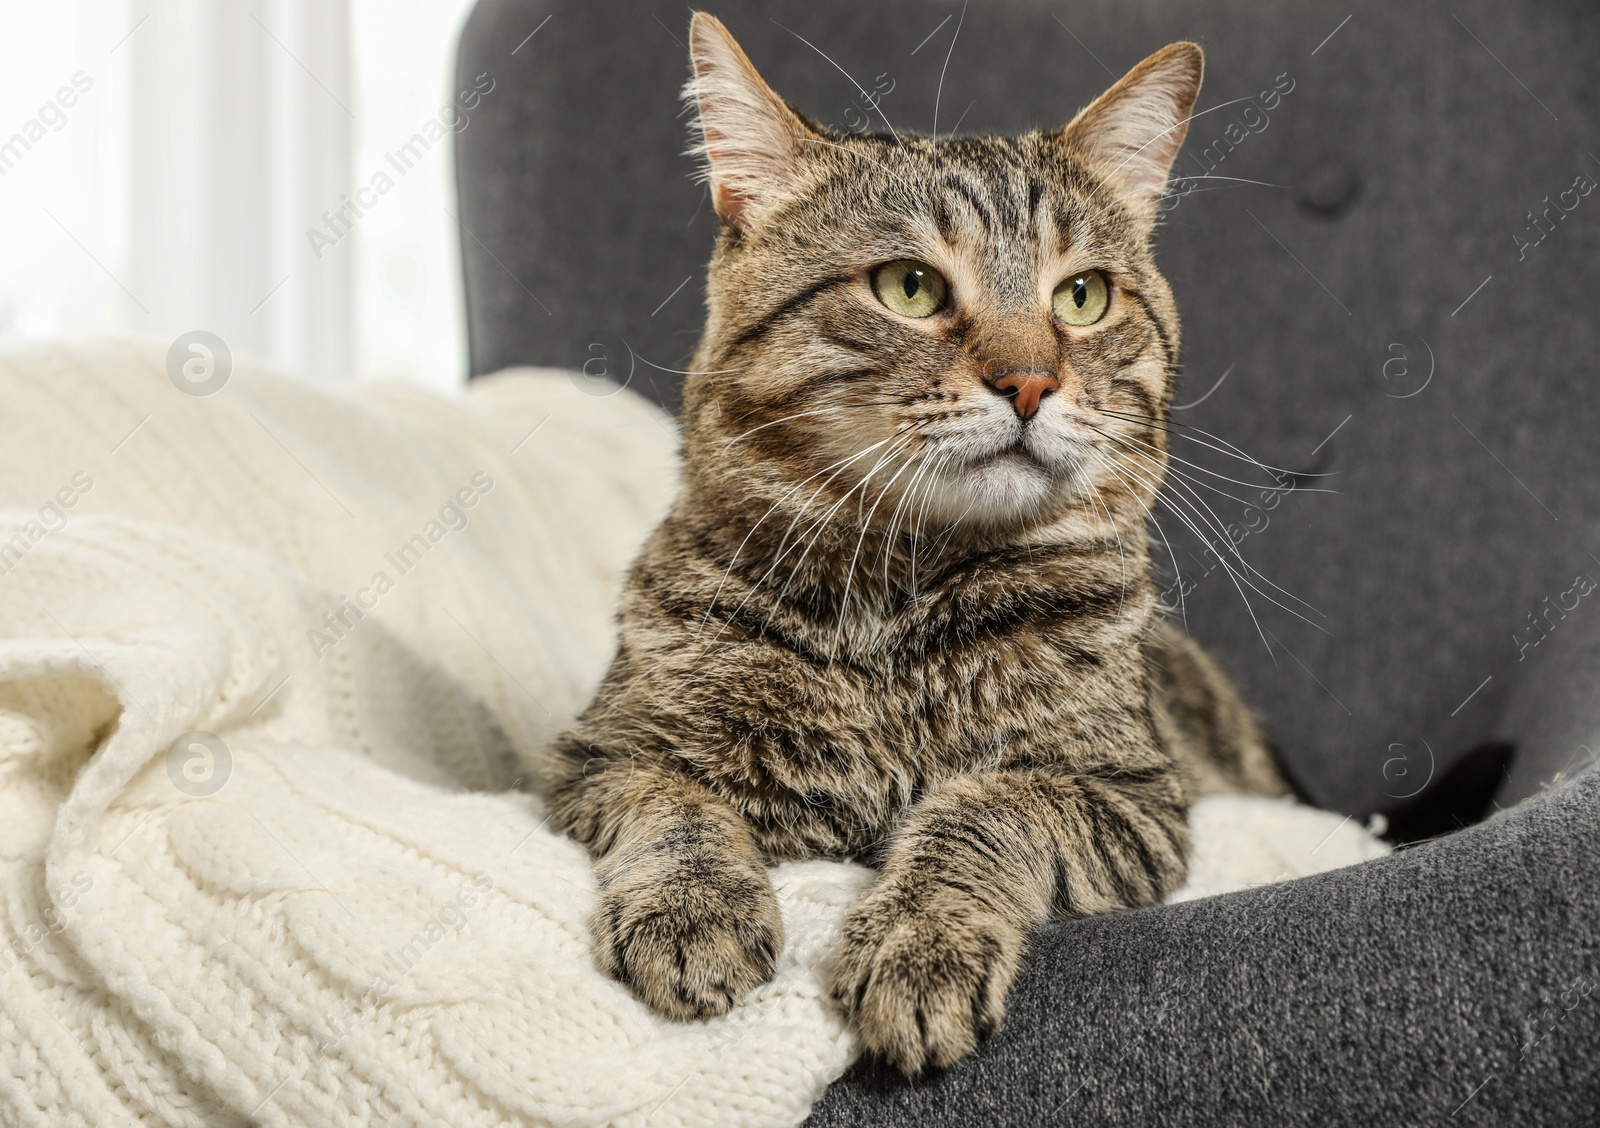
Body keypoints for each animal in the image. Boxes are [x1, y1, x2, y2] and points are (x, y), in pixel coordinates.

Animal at [544, 15, 1292, 1075]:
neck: (896, 602)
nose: (1030, 382)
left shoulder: (1127, 794)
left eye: (1083, 298)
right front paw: (694, 908)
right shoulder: (602, 753)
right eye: (910, 287)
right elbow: (677, 806)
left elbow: (984, 811)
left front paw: (921, 938)